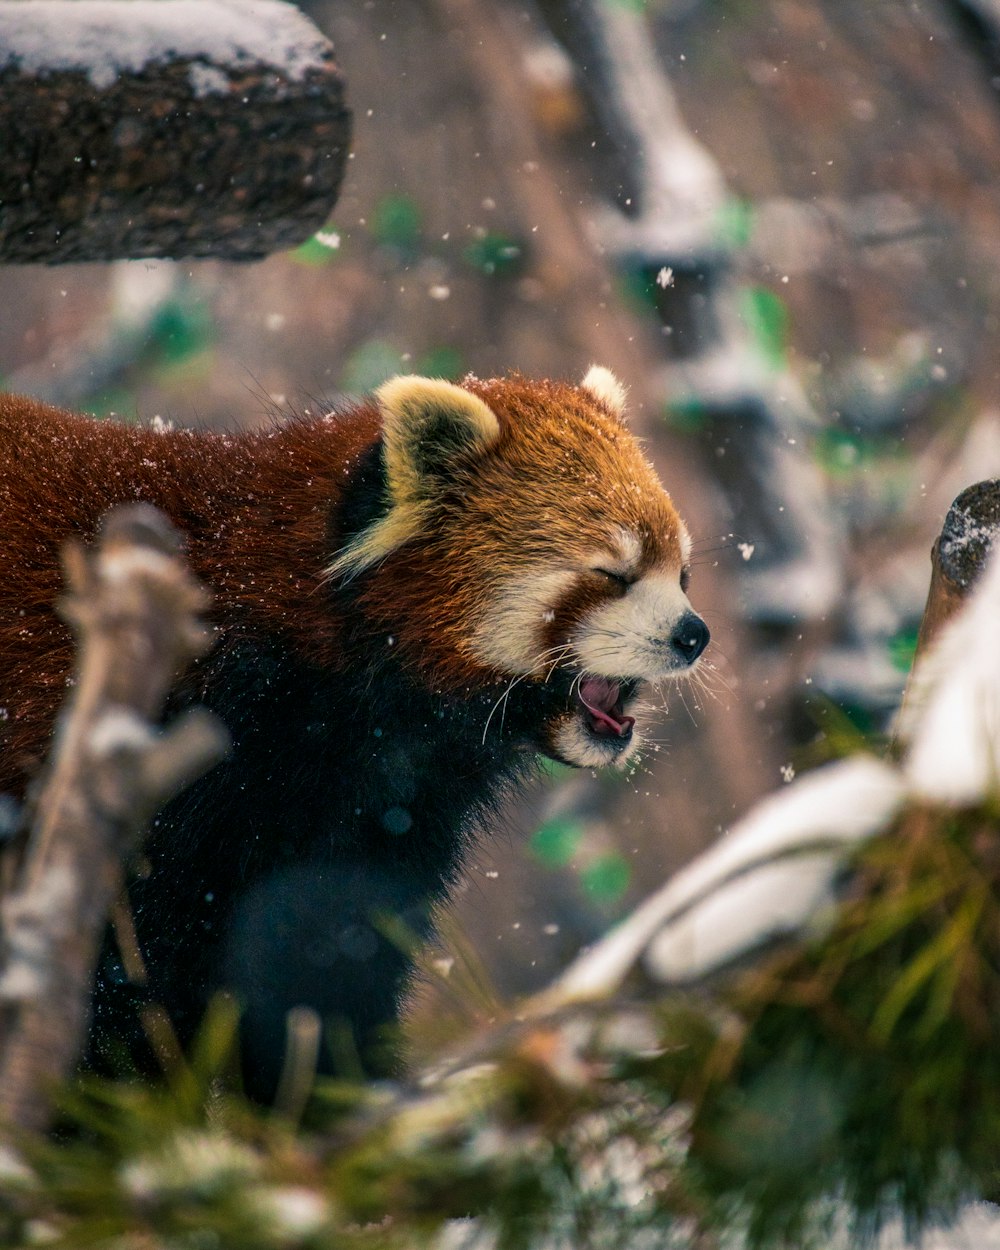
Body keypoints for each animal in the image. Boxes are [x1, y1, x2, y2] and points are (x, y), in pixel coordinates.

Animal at [0, 365, 705, 1100]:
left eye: (681, 573)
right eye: (612, 574)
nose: (694, 635)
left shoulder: (376, 820)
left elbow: (322, 959)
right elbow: (128, 967)